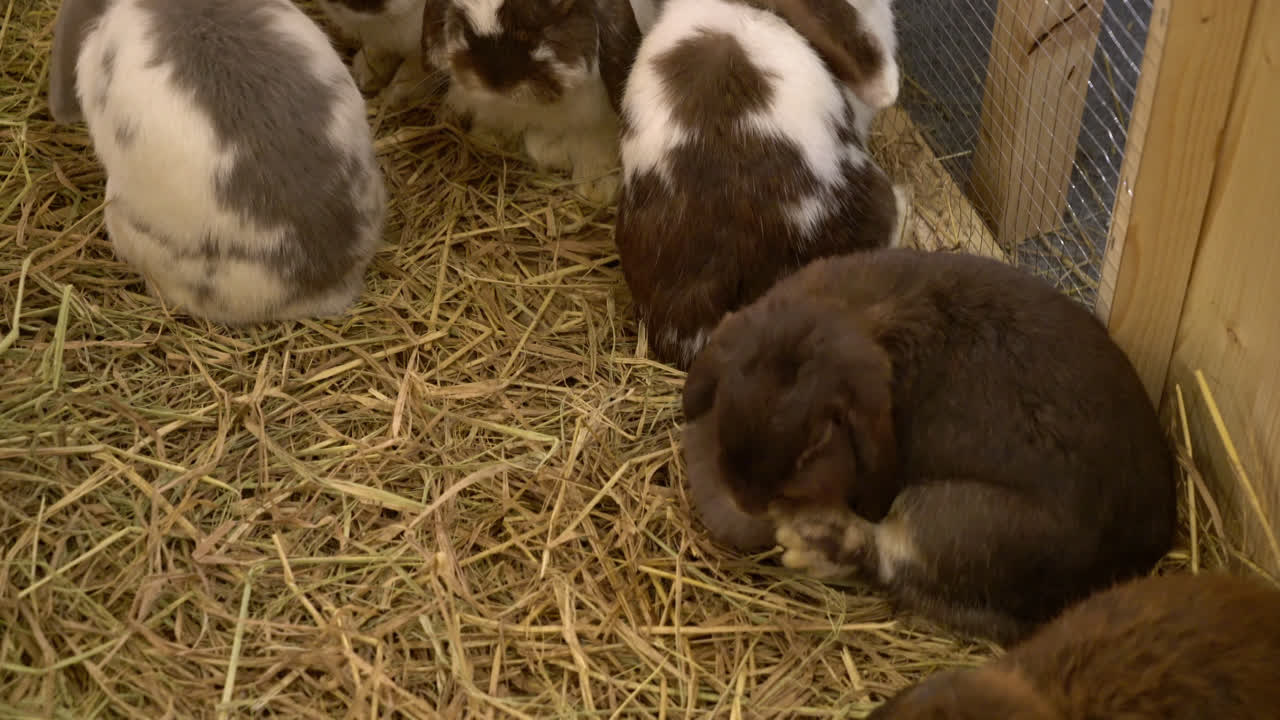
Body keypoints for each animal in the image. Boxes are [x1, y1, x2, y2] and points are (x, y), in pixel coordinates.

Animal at [420, 0, 643, 203]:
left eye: (527, 33)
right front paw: (489, 138)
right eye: (467, 31)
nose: (494, 81)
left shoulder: (596, 125)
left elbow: (591, 150)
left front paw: (597, 187)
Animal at [680, 248, 1177, 645]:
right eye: (726, 403)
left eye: (816, 441)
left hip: (955, 521)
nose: (747, 501)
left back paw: (810, 543)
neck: (854, 314)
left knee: (886, 558)